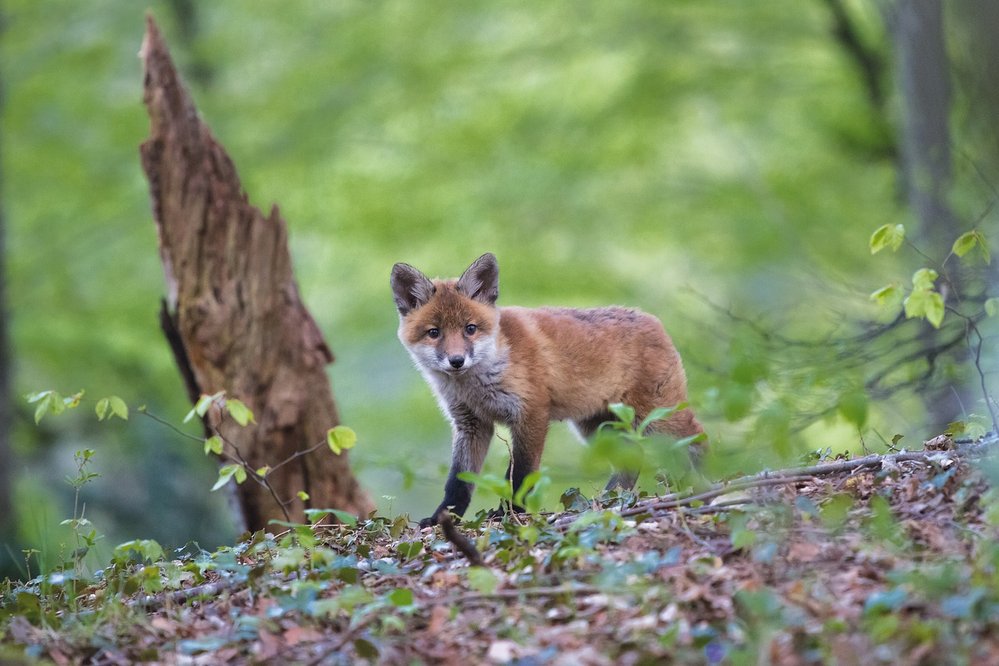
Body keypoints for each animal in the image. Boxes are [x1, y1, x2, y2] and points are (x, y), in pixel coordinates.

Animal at [390, 250, 704, 524]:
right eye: (434, 333)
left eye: (470, 328)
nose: (457, 361)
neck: (477, 385)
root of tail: (652, 320)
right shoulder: (471, 424)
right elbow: (458, 482)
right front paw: (442, 518)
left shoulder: (531, 413)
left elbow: (521, 474)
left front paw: (511, 513)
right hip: (598, 429)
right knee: (631, 462)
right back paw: (607, 502)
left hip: (658, 419)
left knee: (697, 440)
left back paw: (700, 484)